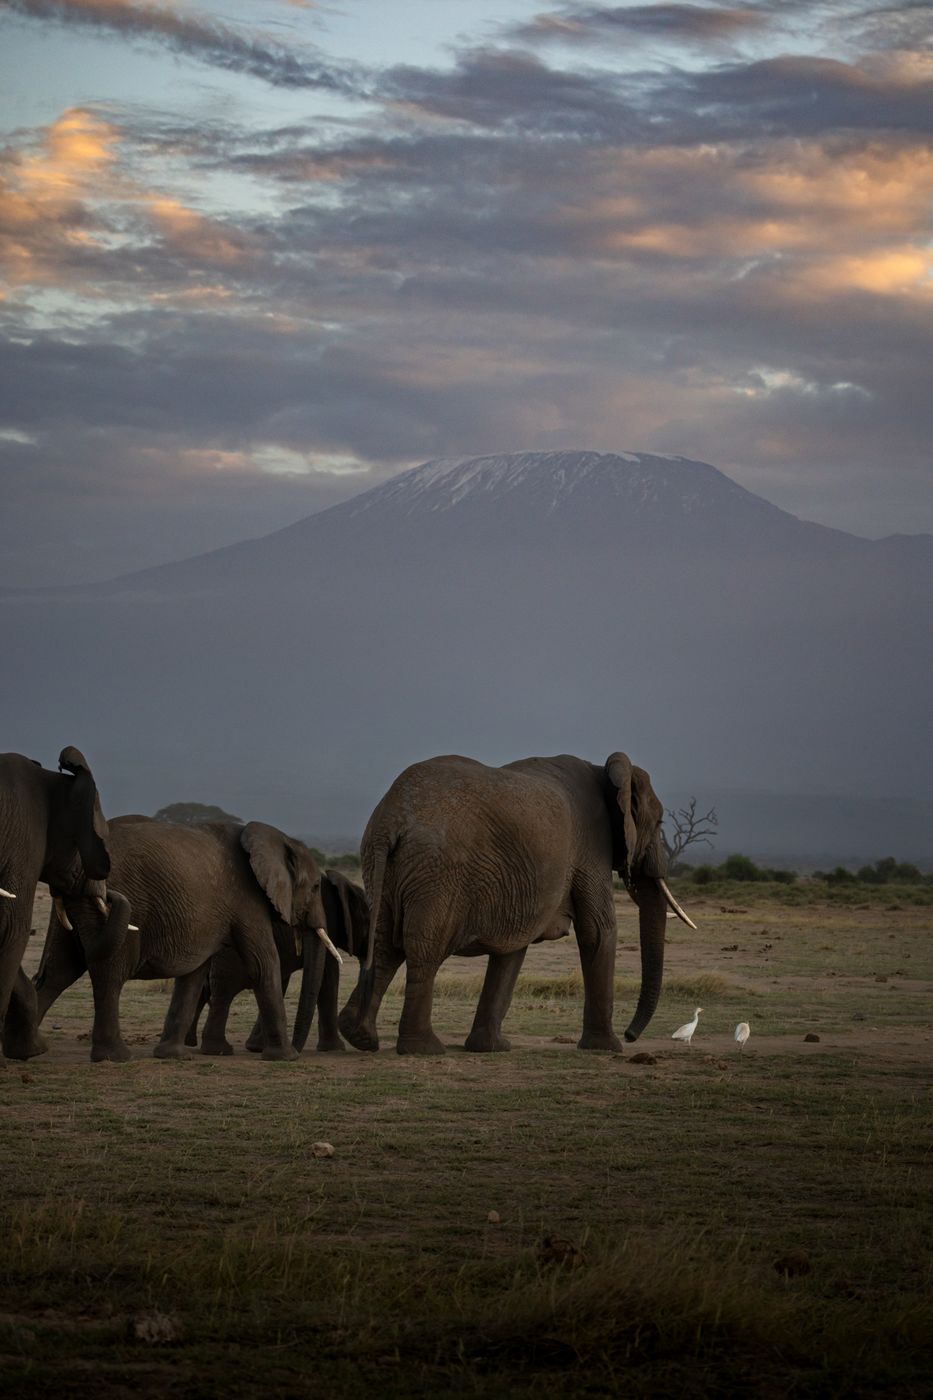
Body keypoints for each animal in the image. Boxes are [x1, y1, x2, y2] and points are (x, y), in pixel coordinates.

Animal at [34, 816, 338, 1062]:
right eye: (315, 887)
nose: (301, 1050)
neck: (273, 836)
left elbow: (194, 973)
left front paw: (173, 1055)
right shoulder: (247, 899)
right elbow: (263, 964)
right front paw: (286, 1058)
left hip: (73, 905)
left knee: (59, 972)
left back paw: (30, 1050)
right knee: (110, 972)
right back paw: (115, 1057)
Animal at [187, 868, 369, 1055]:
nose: (297, 1048)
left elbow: (282, 980)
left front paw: (257, 1047)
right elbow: (328, 978)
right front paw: (334, 1049)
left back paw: (192, 1042)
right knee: (224, 989)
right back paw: (216, 1049)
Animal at [338, 751, 695, 1056]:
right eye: (660, 823)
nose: (631, 1036)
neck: (605, 771)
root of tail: (391, 817)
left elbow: (513, 948)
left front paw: (491, 1048)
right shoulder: (592, 847)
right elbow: (598, 930)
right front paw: (607, 1049)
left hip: (384, 864)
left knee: (384, 947)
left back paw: (359, 1037)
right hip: (438, 871)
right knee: (424, 950)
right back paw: (424, 1049)